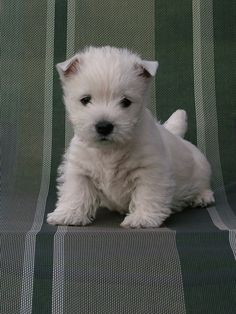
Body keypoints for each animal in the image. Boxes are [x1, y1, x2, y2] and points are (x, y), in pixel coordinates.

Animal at [46, 46, 214, 228]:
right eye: (85, 99)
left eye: (126, 101)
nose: (104, 126)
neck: (109, 151)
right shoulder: (79, 169)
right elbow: (76, 192)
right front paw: (68, 215)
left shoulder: (150, 170)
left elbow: (147, 194)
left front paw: (142, 219)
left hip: (202, 167)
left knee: (203, 184)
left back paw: (202, 197)